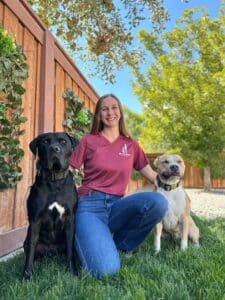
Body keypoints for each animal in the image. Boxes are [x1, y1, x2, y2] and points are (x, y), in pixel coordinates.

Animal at [22, 132, 78, 280]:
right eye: (45, 142)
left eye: (63, 141)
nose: (54, 149)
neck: (54, 180)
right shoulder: (35, 220)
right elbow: (31, 249)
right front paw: (27, 275)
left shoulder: (70, 218)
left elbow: (70, 248)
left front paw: (72, 271)